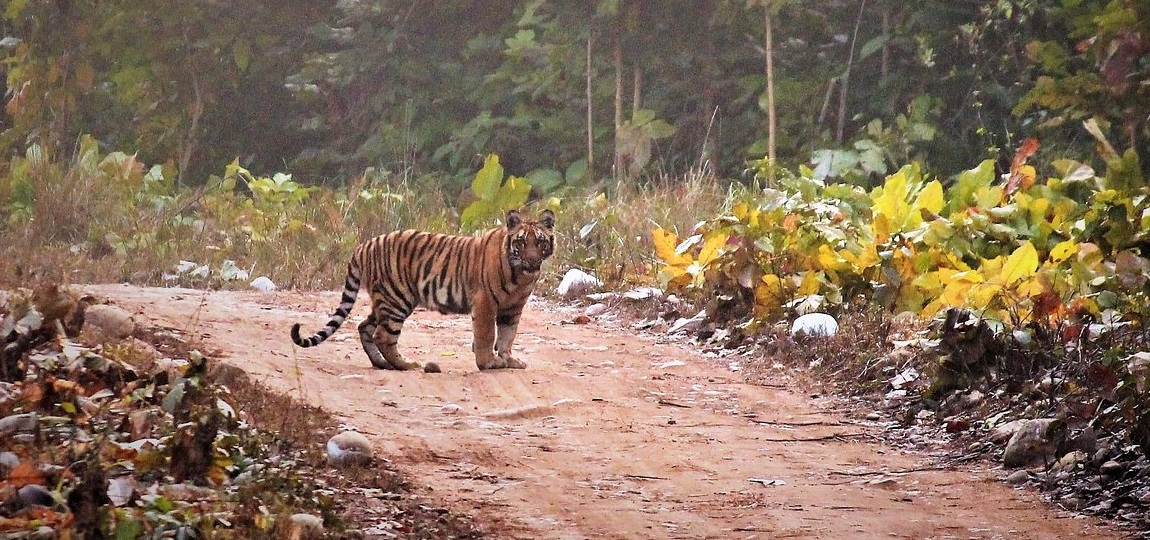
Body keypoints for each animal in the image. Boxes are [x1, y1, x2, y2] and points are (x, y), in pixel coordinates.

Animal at [291, 209, 555, 371]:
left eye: (540, 242)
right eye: (521, 242)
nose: (532, 261)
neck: (521, 276)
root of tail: (363, 245)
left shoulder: (513, 307)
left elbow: (508, 335)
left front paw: (509, 359)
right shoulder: (485, 303)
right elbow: (487, 335)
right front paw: (488, 363)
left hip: (384, 300)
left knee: (365, 327)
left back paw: (381, 364)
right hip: (397, 298)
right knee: (383, 335)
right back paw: (406, 365)